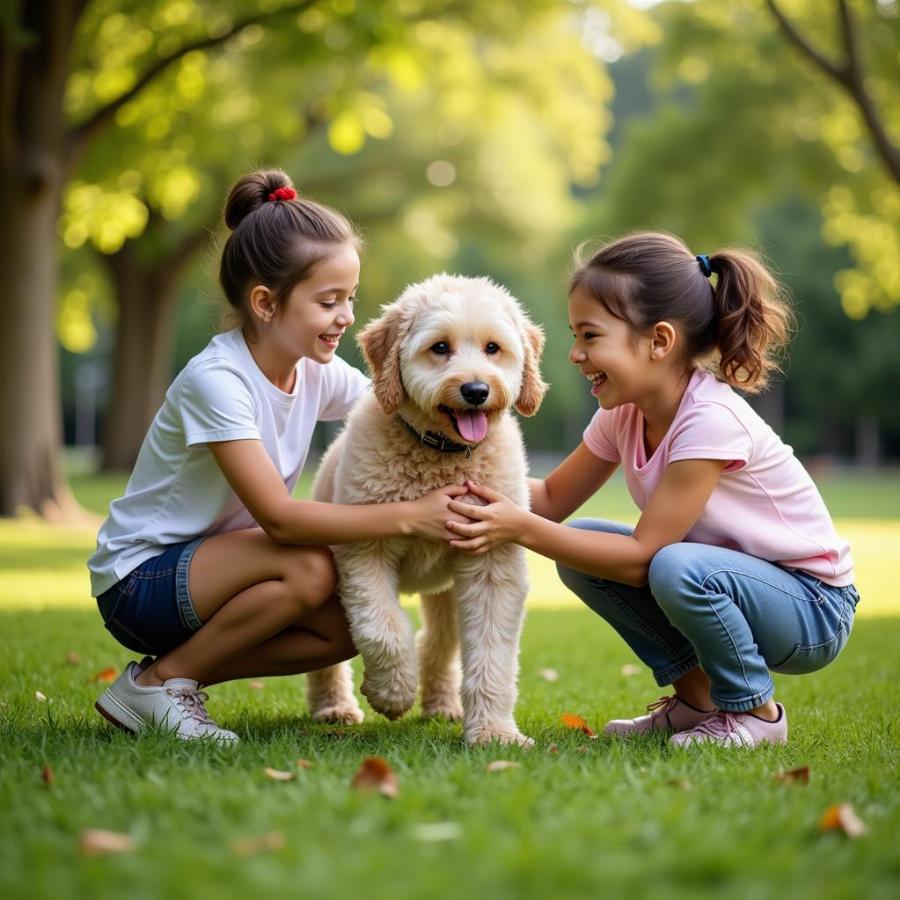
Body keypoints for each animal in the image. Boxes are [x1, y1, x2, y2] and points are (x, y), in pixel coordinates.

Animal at [306, 272, 544, 744]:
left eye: (493, 348)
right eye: (440, 347)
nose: (476, 390)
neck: (441, 454)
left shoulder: (493, 559)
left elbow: (492, 653)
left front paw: (495, 734)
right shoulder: (364, 549)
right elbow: (384, 628)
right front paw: (392, 694)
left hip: (448, 590)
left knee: (437, 642)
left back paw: (441, 703)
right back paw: (334, 706)